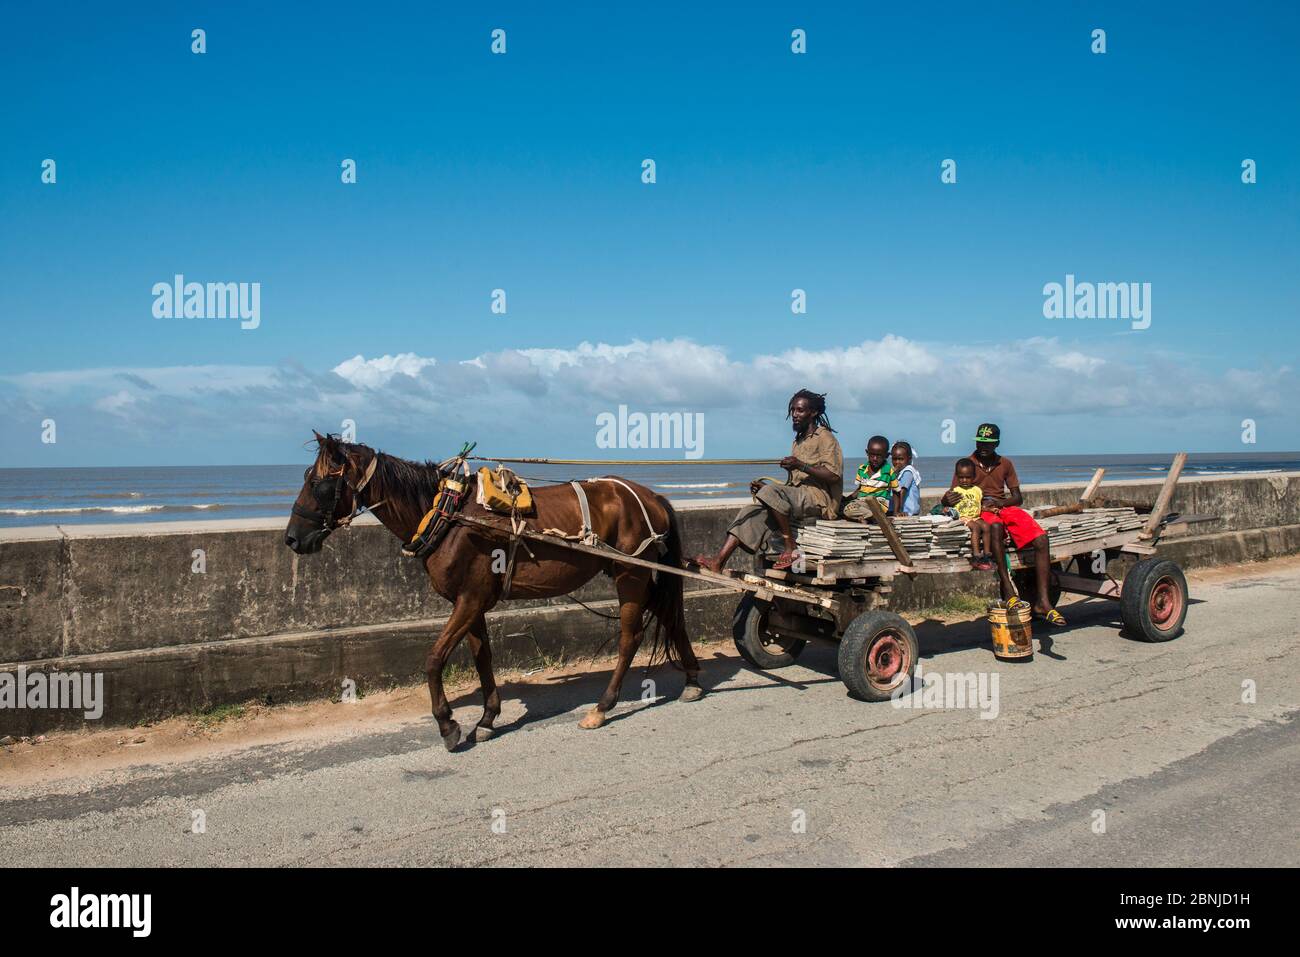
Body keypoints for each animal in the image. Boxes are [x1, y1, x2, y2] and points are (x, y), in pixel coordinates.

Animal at [283, 432, 704, 751]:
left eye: (317, 482)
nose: (292, 539)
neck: (448, 516)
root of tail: (651, 497)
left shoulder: (469, 601)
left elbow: (434, 659)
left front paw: (448, 725)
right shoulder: (471, 600)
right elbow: (482, 658)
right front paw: (486, 719)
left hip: (631, 575)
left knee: (630, 637)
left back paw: (603, 705)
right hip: (640, 573)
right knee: (671, 620)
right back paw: (693, 681)